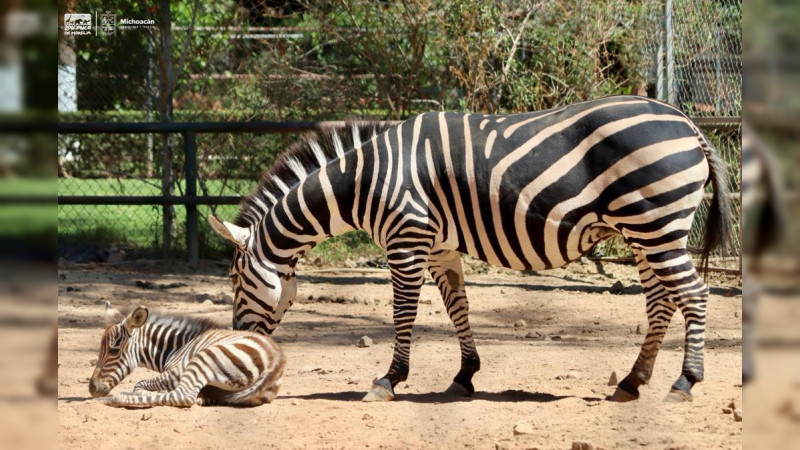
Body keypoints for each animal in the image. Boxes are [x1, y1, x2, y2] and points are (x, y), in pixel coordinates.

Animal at [89, 304, 286, 407]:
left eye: (114, 350)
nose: (92, 389)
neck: (178, 346)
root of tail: (275, 363)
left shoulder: (175, 372)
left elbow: (139, 385)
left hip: (203, 358)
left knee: (183, 396)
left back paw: (115, 398)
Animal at [208, 95, 733, 403]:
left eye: (235, 280)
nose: (240, 339)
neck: (364, 182)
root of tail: (687, 121)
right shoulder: (439, 246)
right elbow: (457, 306)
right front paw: (465, 375)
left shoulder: (406, 238)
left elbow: (403, 312)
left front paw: (388, 380)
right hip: (645, 229)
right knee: (662, 300)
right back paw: (631, 381)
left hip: (655, 223)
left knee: (695, 294)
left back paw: (684, 382)